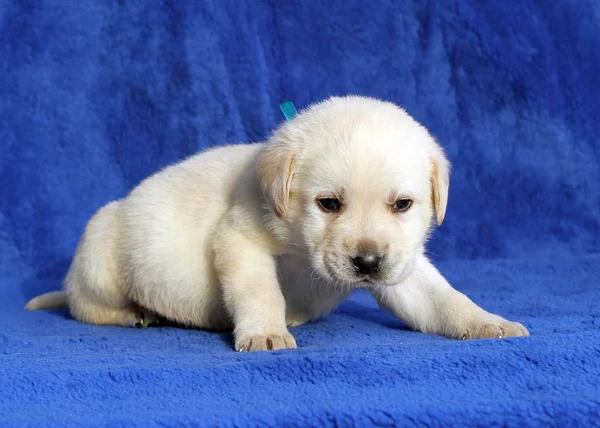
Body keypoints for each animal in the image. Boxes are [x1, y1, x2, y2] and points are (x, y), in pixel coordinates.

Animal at [25, 97, 528, 352]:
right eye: (328, 204)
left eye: (402, 204)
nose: (367, 263)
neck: (305, 255)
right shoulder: (239, 242)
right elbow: (261, 291)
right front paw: (266, 332)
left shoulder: (404, 264)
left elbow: (442, 298)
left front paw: (486, 322)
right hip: (100, 256)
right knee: (86, 308)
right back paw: (133, 314)